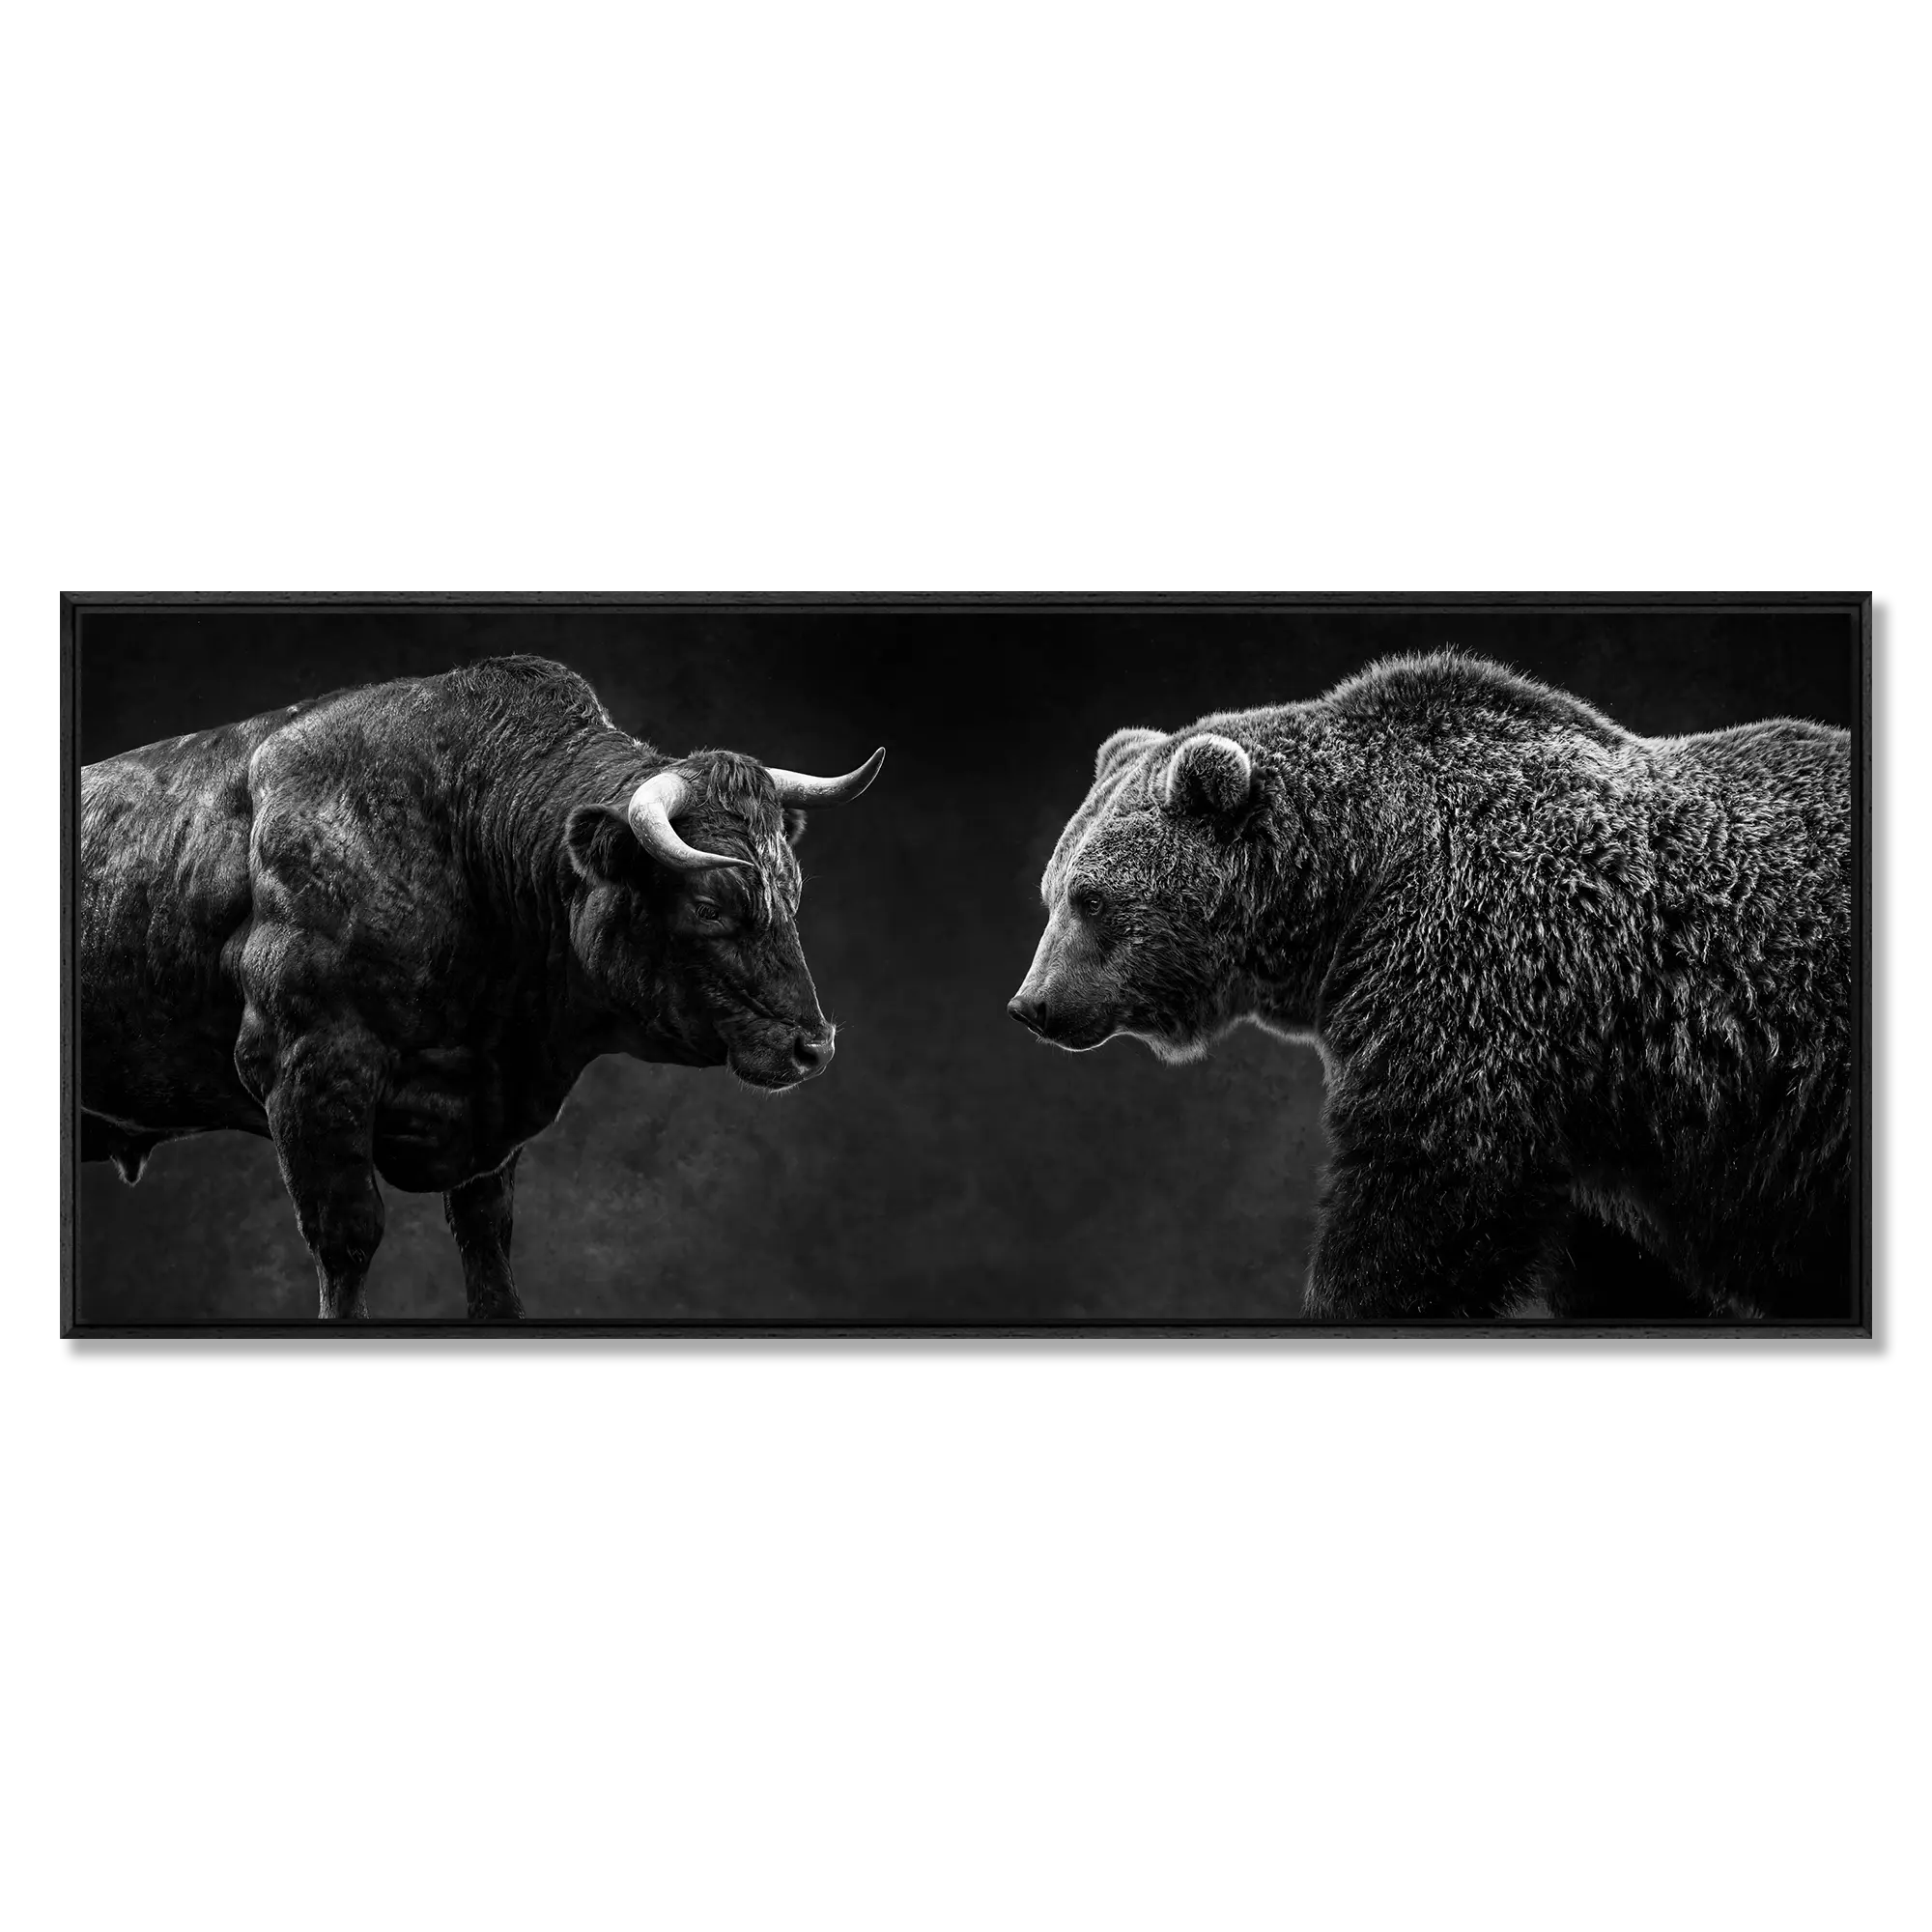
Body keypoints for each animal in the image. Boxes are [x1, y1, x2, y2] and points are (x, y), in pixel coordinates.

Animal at [80, 654, 884, 1319]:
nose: (814, 1047)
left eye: (792, 887)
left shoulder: (490, 1125)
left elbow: (488, 1248)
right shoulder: (304, 1070)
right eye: (711, 905)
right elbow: (347, 1241)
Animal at [1008, 651, 1852, 1320]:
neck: (1352, 887)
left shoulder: (1480, 971)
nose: (1033, 1004)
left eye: (1092, 898)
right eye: (1051, 891)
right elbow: (1620, 1265)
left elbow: (1425, 1192)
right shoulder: (1601, 1125)